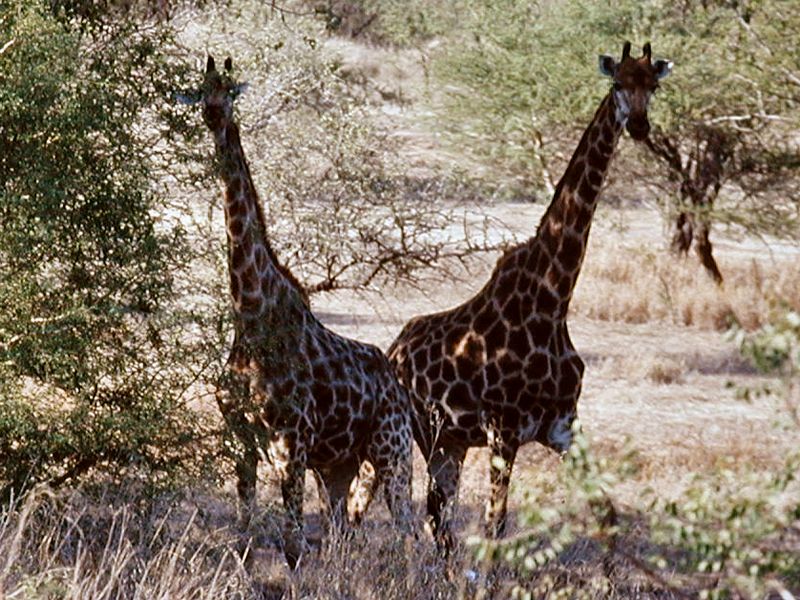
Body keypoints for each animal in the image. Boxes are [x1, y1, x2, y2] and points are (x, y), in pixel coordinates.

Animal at [188, 56, 416, 568]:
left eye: (229, 89)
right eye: (201, 89)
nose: (213, 114)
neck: (252, 314)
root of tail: (398, 387)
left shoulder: (290, 440)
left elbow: (292, 543)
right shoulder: (241, 436)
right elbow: (245, 527)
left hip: (392, 452)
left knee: (413, 531)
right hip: (339, 465)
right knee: (344, 530)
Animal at [386, 41, 668, 548]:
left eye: (652, 86)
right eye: (618, 83)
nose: (638, 125)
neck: (553, 301)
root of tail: (395, 348)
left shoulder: (563, 427)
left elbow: (608, 516)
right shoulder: (504, 430)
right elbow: (495, 528)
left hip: (453, 440)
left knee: (439, 516)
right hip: (427, 433)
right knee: (432, 513)